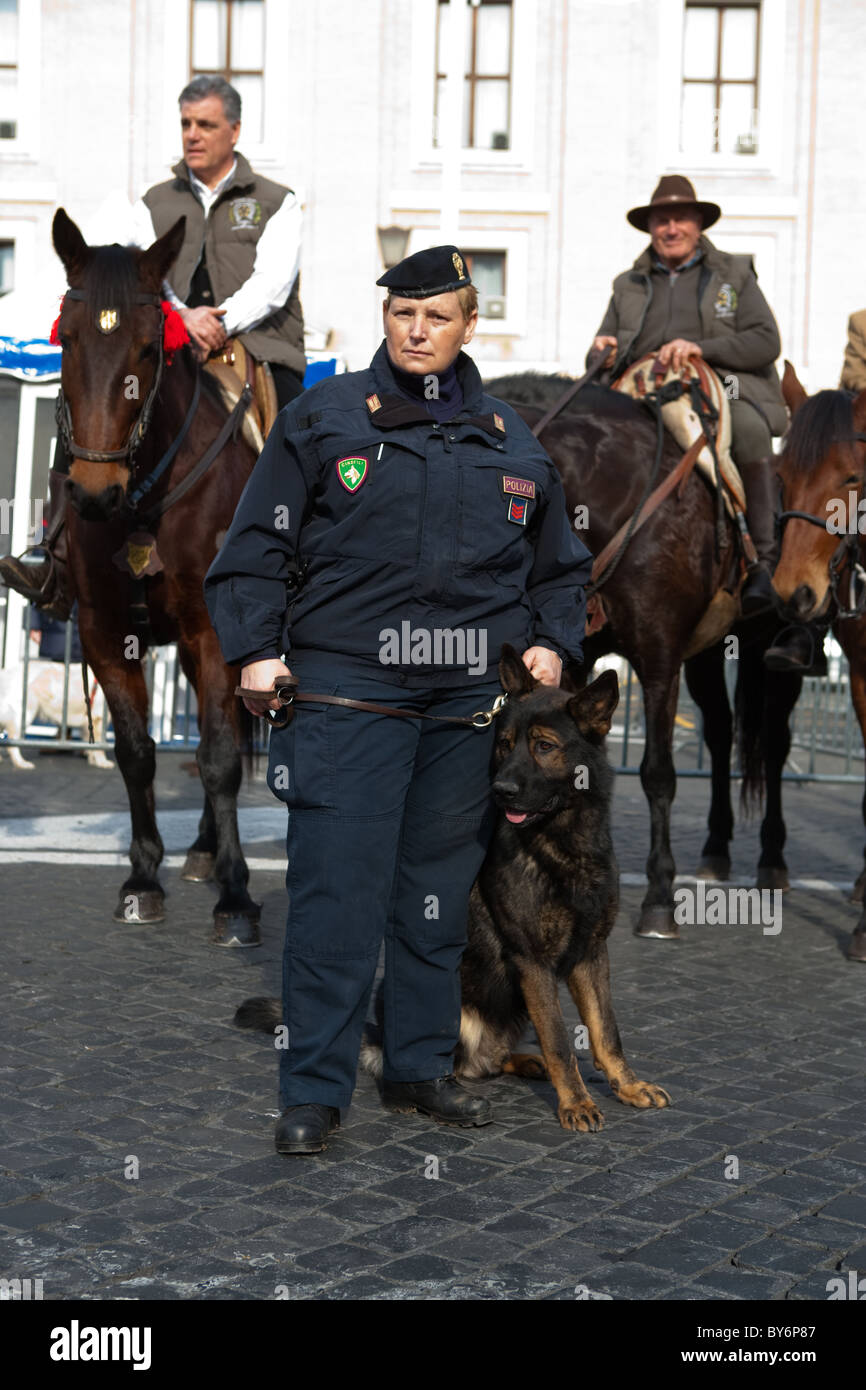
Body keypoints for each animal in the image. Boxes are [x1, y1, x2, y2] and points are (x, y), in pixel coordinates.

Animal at [50, 205, 261, 945]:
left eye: (148, 349)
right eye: (67, 341)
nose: (93, 494)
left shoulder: (215, 633)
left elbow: (221, 756)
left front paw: (236, 894)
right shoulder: (104, 631)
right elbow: (137, 751)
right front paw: (143, 878)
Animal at [234, 644, 670, 1134]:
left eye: (544, 746)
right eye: (504, 744)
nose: (501, 790)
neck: (562, 842)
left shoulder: (591, 954)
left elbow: (606, 1031)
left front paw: (628, 1085)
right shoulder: (533, 961)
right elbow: (560, 1041)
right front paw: (576, 1103)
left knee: (488, 1062)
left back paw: (525, 1062)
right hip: (451, 1014)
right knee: (430, 1060)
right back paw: (410, 1092)